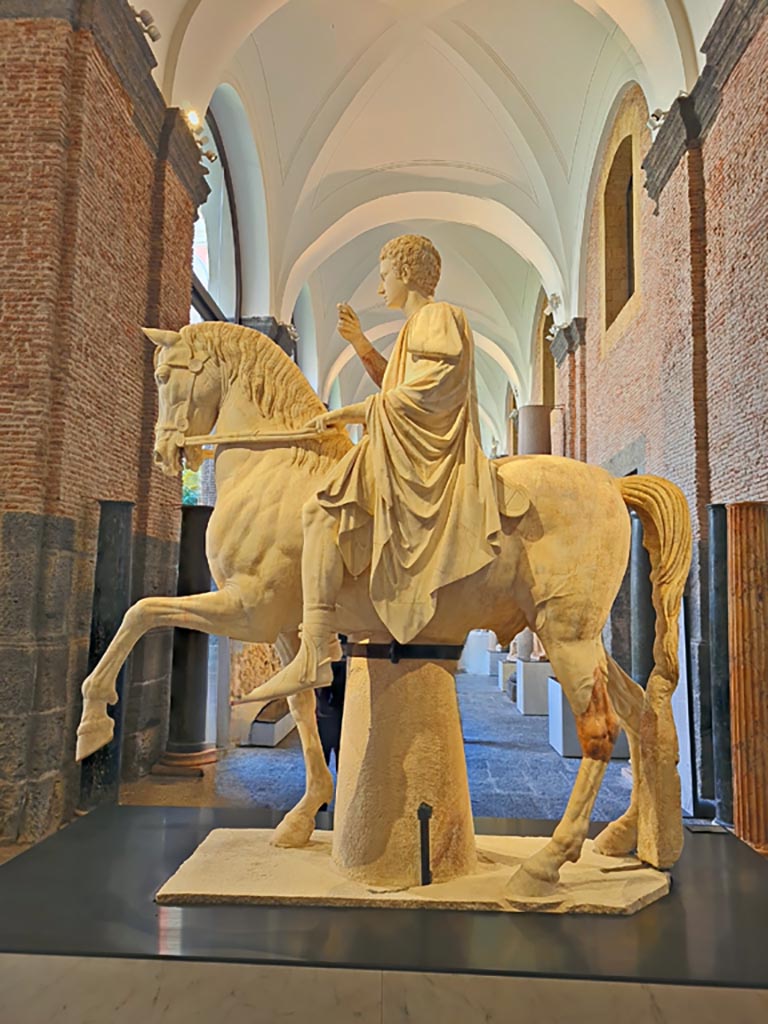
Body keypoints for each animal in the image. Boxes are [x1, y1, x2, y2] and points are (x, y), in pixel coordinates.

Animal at [75, 321, 696, 888]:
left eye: (163, 375)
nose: (164, 453)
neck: (274, 468)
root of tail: (611, 486)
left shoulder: (246, 606)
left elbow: (141, 611)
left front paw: (93, 722)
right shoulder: (284, 628)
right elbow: (302, 701)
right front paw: (303, 817)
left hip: (566, 636)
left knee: (600, 731)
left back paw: (548, 862)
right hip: (579, 636)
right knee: (640, 713)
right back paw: (635, 840)